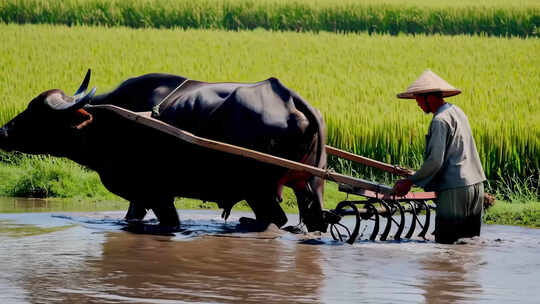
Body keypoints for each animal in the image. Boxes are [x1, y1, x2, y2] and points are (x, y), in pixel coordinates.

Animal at [0, 70, 330, 233]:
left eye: (37, 113)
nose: (2, 132)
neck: (110, 122)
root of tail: (290, 99)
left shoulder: (156, 194)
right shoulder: (139, 196)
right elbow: (132, 217)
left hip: (258, 191)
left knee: (275, 219)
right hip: (308, 185)